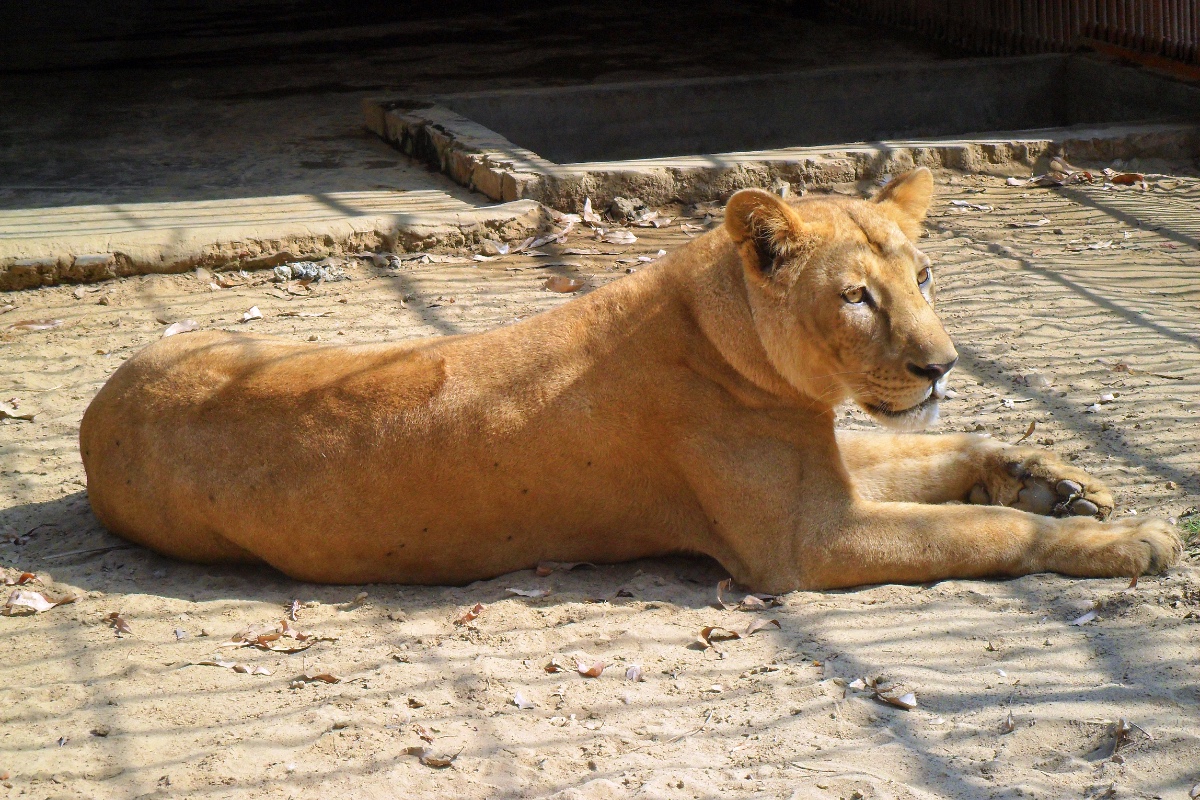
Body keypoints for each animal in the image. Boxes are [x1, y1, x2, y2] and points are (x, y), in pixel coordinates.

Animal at [79, 168, 1182, 591]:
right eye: (856, 298)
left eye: (924, 278)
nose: (941, 365)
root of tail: (95, 410)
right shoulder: (806, 541)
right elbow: (984, 532)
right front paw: (1126, 539)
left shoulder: (827, 463)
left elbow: (949, 452)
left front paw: (1059, 479)